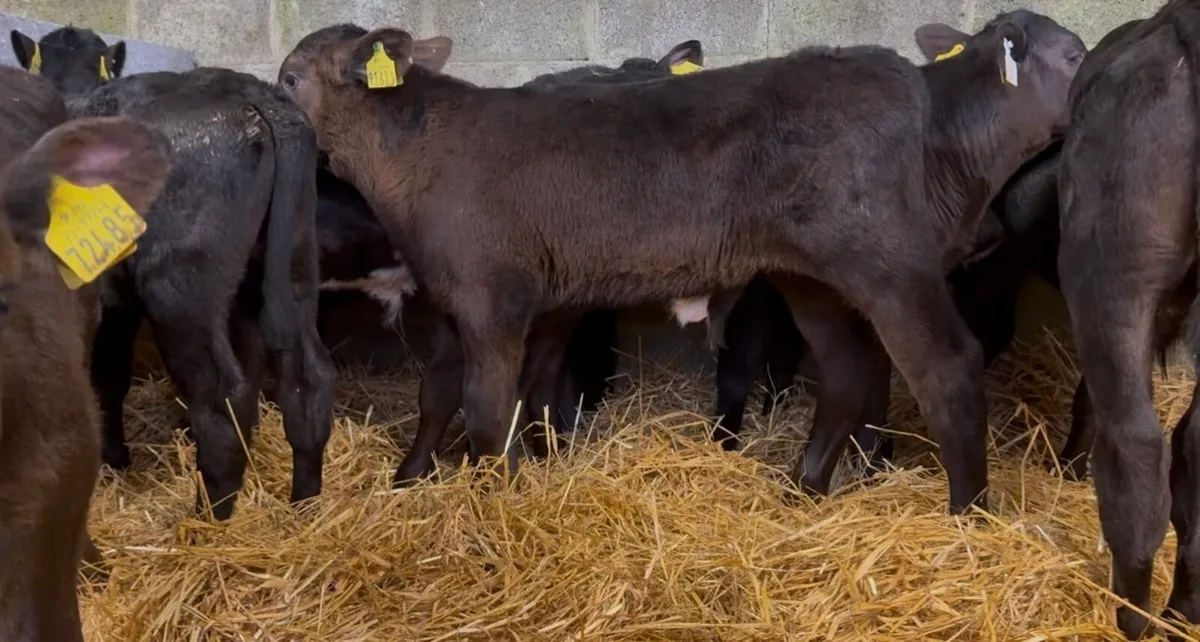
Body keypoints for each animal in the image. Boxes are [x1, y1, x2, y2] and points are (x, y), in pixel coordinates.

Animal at [70, 68, 336, 521]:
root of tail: (251, 92)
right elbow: (109, 375)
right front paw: (115, 461)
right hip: (291, 262)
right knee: (307, 379)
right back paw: (304, 507)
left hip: (178, 288)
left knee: (221, 397)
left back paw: (206, 524)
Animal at [279, 11, 1084, 514]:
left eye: (288, 78)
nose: (266, 112)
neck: (417, 150)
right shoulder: (466, 296)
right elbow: (450, 394)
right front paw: (418, 479)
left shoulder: (492, 295)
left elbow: (487, 411)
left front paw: (499, 504)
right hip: (811, 277)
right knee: (850, 372)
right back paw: (802, 491)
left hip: (890, 262)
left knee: (946, 366)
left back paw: (969, 515)